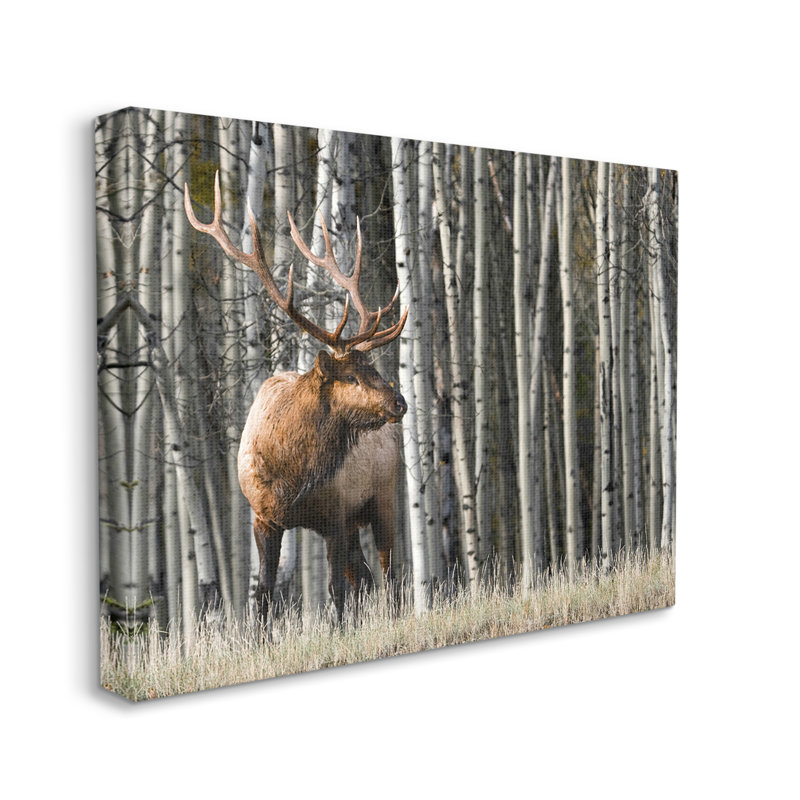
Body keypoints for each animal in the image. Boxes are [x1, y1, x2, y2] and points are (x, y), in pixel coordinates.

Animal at [184, 173, 408, 623]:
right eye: (352, 377)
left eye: (374, 368)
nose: (399, 403)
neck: (292, 476)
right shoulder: (264, 517)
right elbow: (265, 594)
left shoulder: (336, 514)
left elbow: (336, 590)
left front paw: (341, 631)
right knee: (367, 577)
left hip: (384, 498)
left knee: (389, 574)